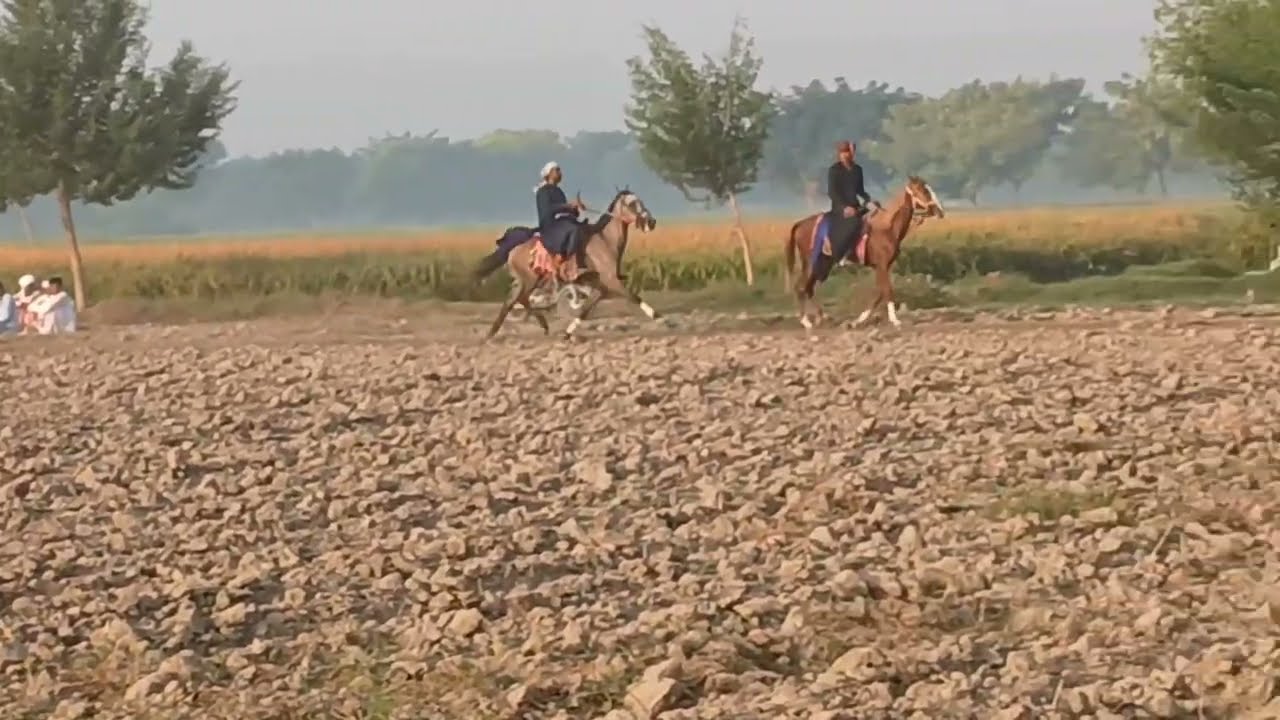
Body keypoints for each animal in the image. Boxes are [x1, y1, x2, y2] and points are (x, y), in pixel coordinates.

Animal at [480, 188, 662, 339]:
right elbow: (633, 297)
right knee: (516, 300)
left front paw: (567, 333)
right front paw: (661, 319)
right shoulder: (611, 281)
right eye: (631, 204)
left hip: (530, 280)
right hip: (529, 280)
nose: (651, 222)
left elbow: (585, 310)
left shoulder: (601, 286)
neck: (604, 240)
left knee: (516, 300)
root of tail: (514, 248)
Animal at [783, 175, 945, 330]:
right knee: (801, 287)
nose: (940, 211)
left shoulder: (883, 266)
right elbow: (887, 290)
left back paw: (822, 318)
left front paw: (857, 321)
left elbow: (879, 293)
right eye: (924, 190)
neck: (887, 229)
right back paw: (806, 321)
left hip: (823, 263)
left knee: (808, 288)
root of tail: (800, 224)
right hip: (811, 262)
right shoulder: (881, 265)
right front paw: (895, 320)